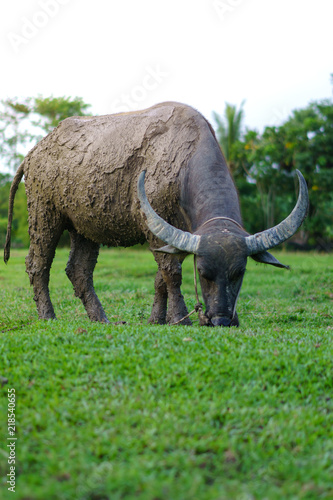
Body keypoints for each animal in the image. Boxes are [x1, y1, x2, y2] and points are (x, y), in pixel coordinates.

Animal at [3, 103, 308, 326]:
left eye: (239, 272)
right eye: (203, 272)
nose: (221, 320)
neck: (183, 165)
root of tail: (35, 151)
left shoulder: (175, 235)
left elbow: (161, 277)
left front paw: (157, 319)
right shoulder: (156, 226)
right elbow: (172, 273)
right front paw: (181, 318)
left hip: (84, 226)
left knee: (78, 270)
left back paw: (101, 319)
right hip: (44, 213)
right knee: (37, 264)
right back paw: (48, 315)